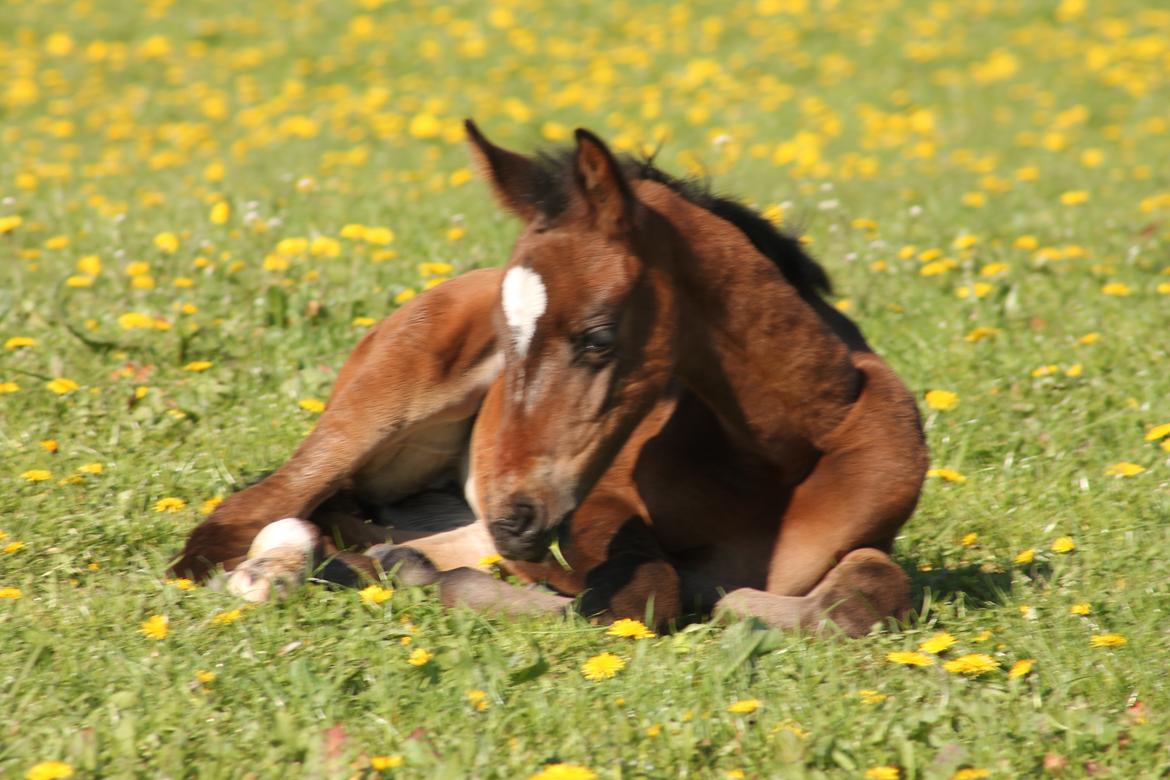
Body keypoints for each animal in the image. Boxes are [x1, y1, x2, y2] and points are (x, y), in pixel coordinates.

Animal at [170, 120, 931, 636]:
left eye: (598, 337)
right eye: (507, 339)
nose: (515, 518)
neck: (772, 462)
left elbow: (875, 588)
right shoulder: (597, 508)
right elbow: (638, 596)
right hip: (374, 411)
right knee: (241, 517)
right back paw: (276, 572)